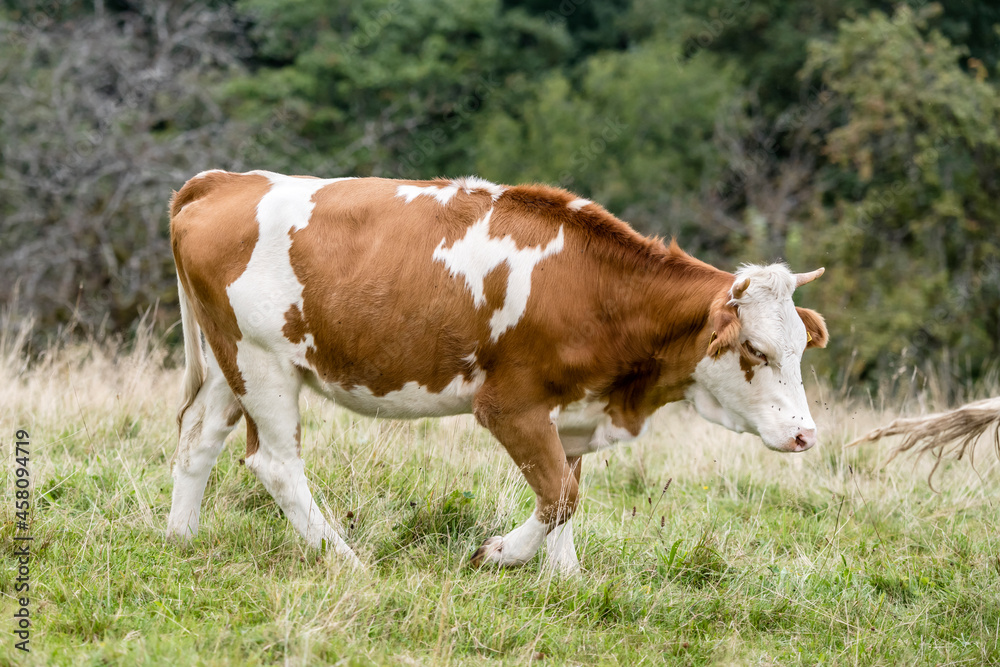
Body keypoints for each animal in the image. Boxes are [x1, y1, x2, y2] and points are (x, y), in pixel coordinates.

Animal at [168, 172, 828, 576]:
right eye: (755, 349)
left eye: (799, 348)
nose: (806, 435)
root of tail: (227, 181)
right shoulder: (512, 406)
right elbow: (560, 495)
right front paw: (500, 554)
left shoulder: (574, 409)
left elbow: (570, 486)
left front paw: (566, 575)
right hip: (261, 362)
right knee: (277, 463)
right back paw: (346, 559)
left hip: (230, 364)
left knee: (197, 435)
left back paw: (180, 537)